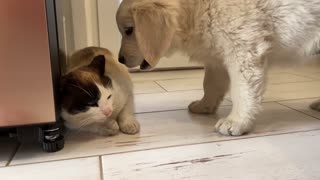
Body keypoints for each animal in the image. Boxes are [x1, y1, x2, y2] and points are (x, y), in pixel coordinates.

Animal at [116, 0, 320, 135]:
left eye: (129, 30)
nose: (120, 59)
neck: (196, 8)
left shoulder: (243, 49)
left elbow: (242, 91)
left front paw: (237, 121)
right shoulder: (217, 58)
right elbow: (211, 85)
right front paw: (204, 105)